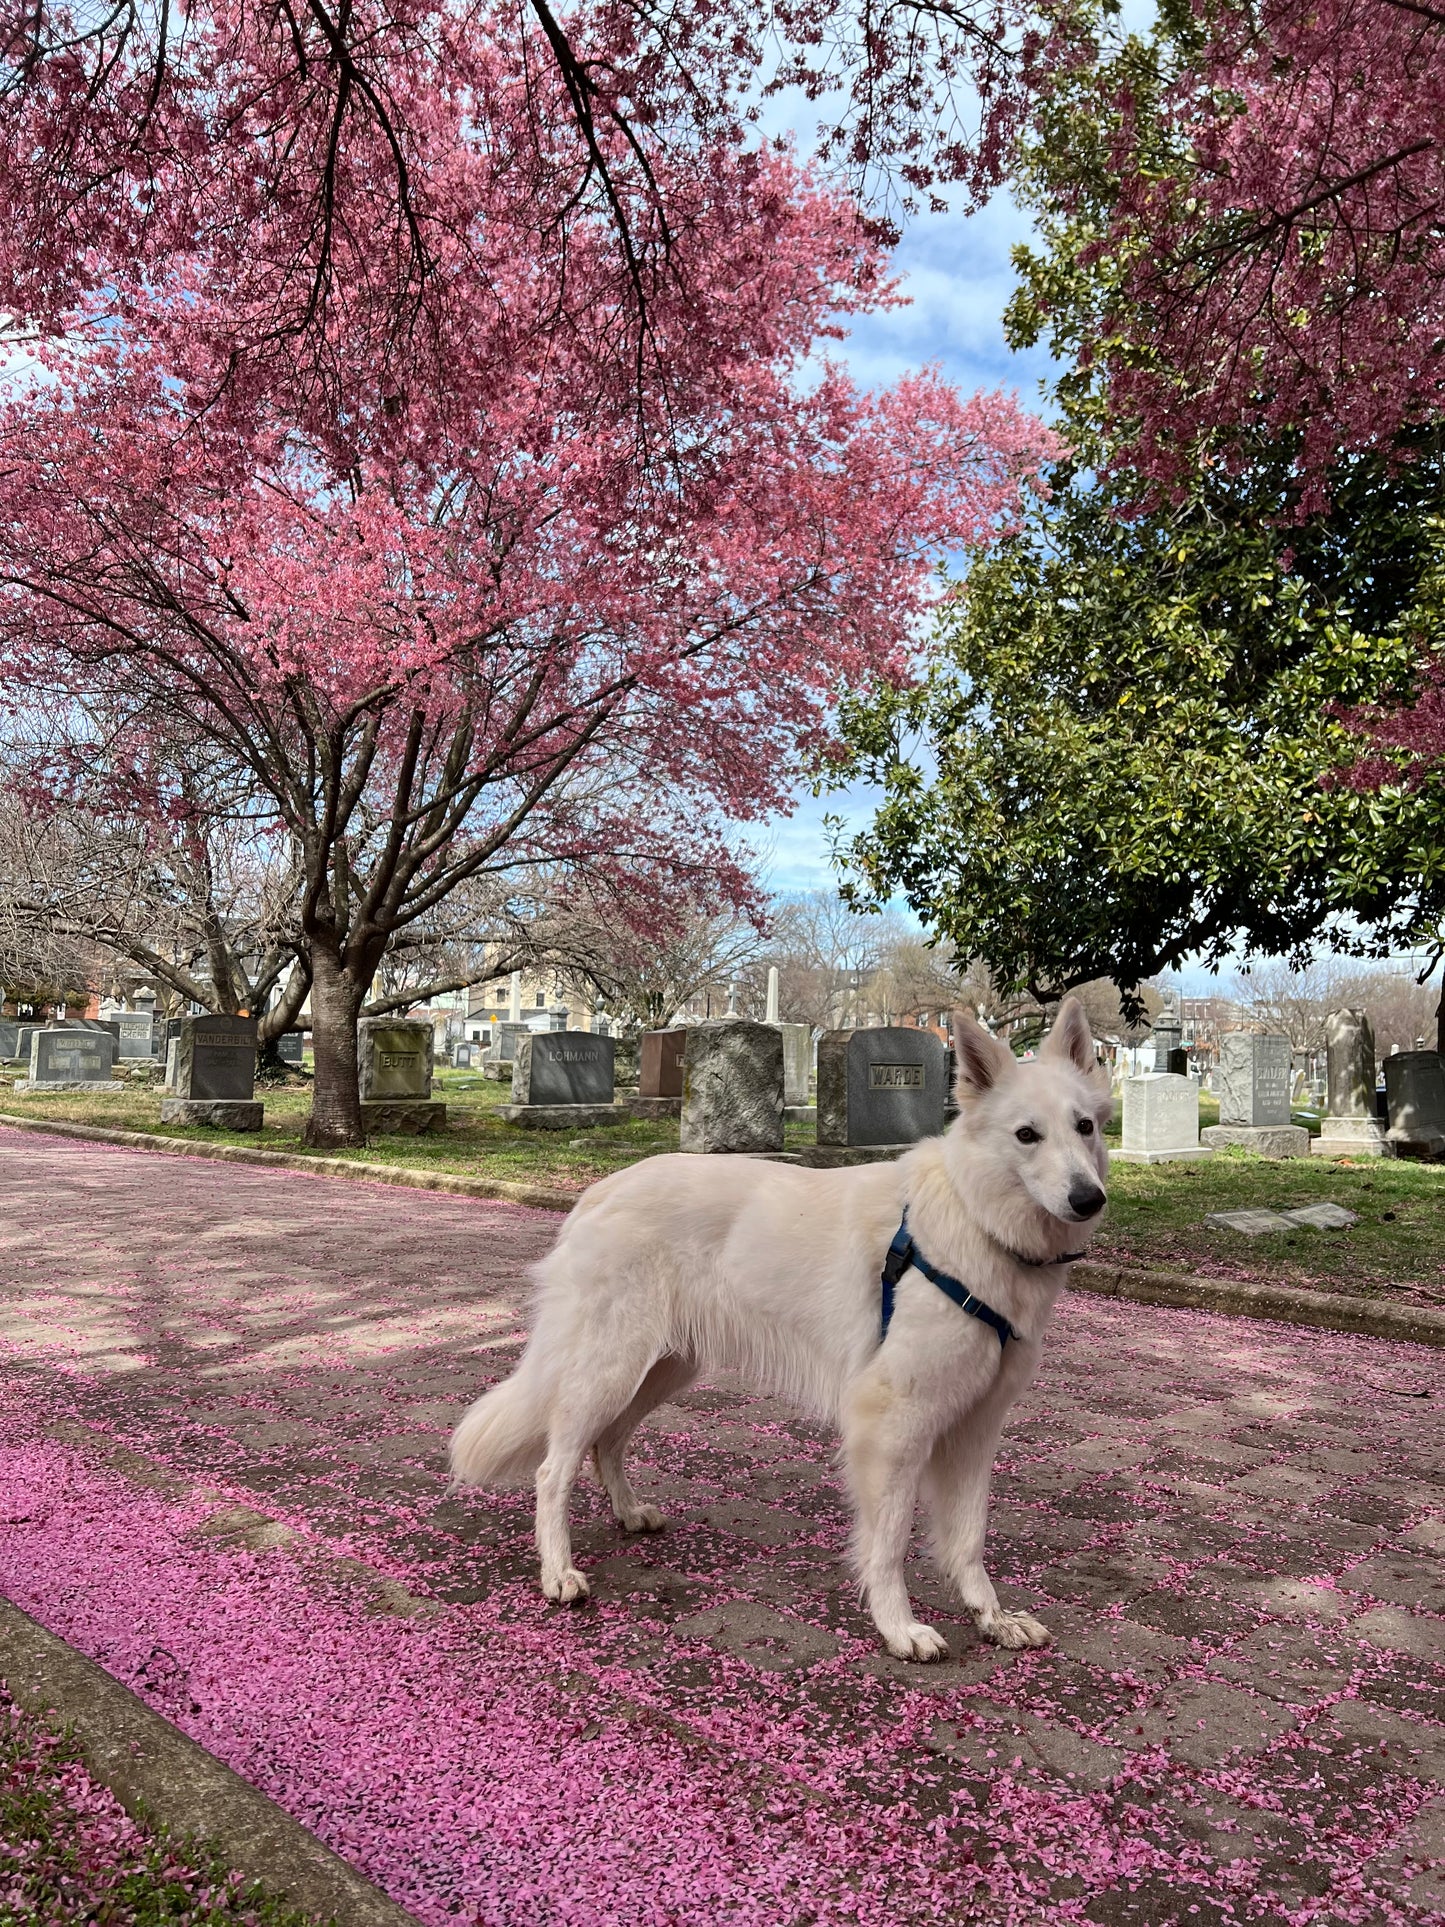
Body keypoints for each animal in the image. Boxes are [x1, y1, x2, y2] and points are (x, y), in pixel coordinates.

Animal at [458, 994, 1117, 1657]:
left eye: (1085, 1127)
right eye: (1027, 1135)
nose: (1090, 1199)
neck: (973, 1218)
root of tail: (598, 1192)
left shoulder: (976, 1429)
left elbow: (969, 1539)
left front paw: (991, 1617)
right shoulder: (892, 1424)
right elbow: (889, 1543)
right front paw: (898, 1626)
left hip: (662, 1370)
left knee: (608, 1442)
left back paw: (628, 1513)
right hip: (610, 1370)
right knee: (553, 1469)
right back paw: (558, 1572)